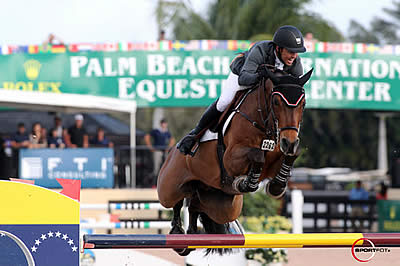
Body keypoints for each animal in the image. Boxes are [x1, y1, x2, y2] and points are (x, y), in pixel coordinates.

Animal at [155, 66, 312, 256]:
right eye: (276, 102)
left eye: (303, 104)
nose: (288, 142)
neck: (264, 124)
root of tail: (172, 152)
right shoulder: (230, 159)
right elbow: (257, 155)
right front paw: (245, 183)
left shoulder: (276, 158)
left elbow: (291, 155)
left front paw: (276, 186)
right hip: (169, 188)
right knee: (176, 202)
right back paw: (177, 234)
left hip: (224, 207)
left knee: (194, 205)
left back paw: (191, 236)